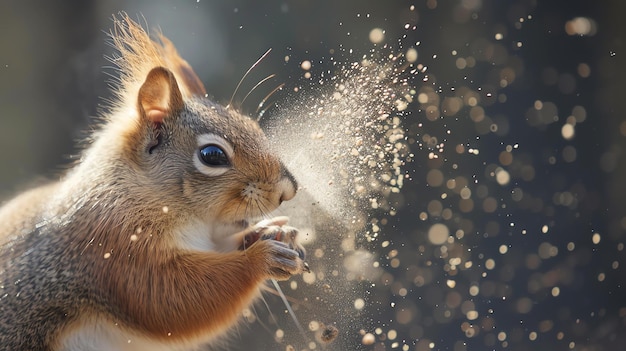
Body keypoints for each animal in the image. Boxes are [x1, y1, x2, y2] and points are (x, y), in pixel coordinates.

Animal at [0, 13, 304, 351]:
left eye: (252, 125)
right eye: (212, 155)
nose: (288, 190)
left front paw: (273, 231)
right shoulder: (114, 249)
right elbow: (167, 297)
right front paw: (261, 258)